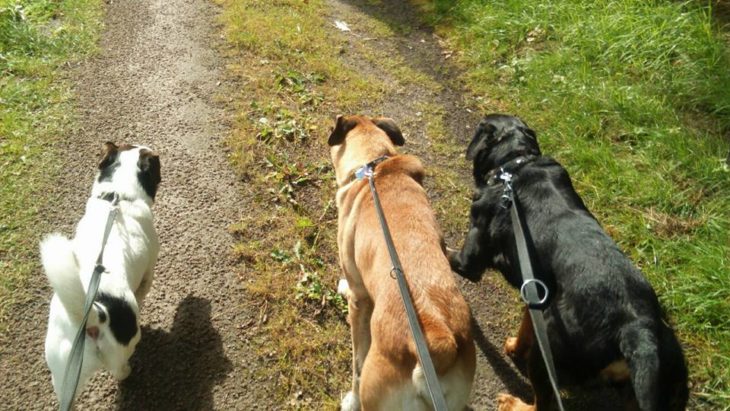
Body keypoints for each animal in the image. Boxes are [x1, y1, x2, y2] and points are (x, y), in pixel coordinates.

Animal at [41, 143, 161, 404]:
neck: (117, 196)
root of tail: (94, 316)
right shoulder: (149, 270)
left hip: (63, 373)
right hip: (125, 343)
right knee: (120, 369)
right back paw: (129, 370)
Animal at [446, 114, 684, 411]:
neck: (514, 166)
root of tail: (638, 330)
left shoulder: (470, 259)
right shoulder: (537, 293)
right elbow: (527, 326)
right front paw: (515, 346)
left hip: (551, 347)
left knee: (542, 403)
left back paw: (514, 403)